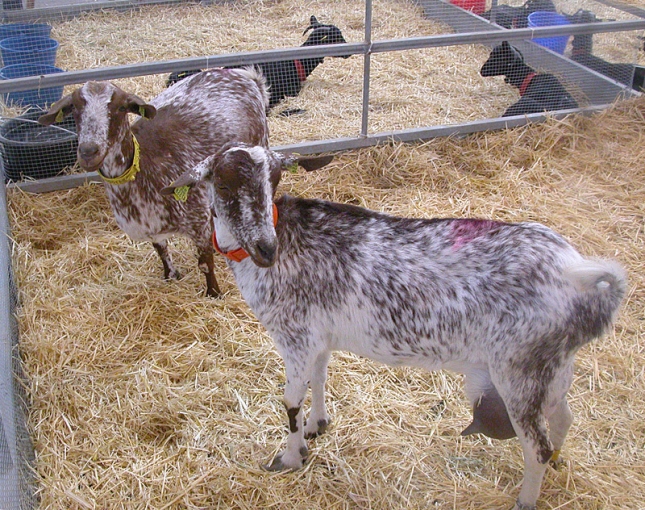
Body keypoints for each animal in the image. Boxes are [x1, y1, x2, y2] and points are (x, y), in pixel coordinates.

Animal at [38, 69, 270, 296]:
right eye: (75, 108)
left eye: (120, 107)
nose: (88, 152)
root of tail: (246, 76)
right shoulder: (151, 225)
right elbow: (161, 250)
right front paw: (170, 275)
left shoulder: (197, 221)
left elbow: (205, 264)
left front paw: (213, 293)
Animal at [162, 145, 628, 510]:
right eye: (223, 183)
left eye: (274, 179)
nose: (265, 249)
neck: (288, 242)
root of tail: (576, 272)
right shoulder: (318, 338)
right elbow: (319, 379)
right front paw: (318, 426)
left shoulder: (295, 337)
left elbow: (290, 400)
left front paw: (290, 457)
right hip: (553, 365)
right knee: (563, 417)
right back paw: (561, 462)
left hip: (518, 370)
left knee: (537, 446)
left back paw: (525, 500)